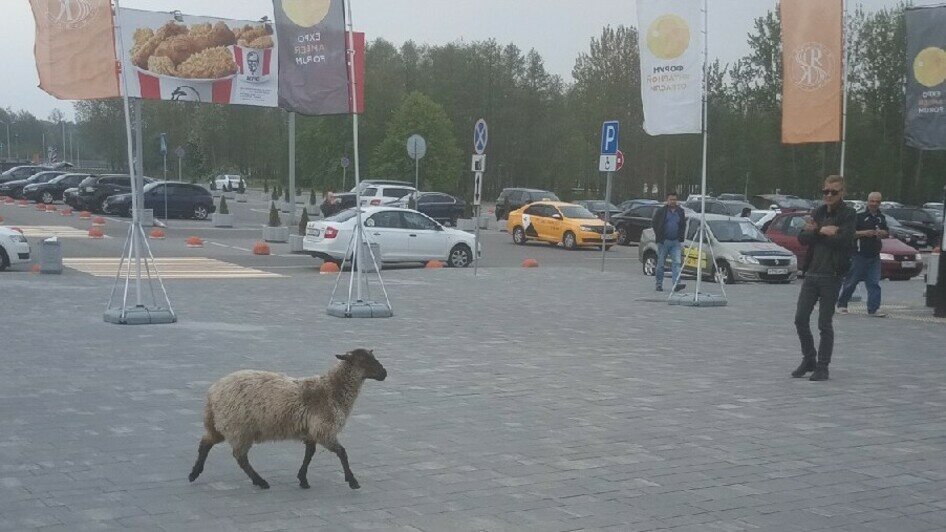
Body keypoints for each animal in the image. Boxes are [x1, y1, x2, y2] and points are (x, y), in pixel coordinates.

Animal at [186, 350, 386, 490]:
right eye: (364, 360)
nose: (384, 373)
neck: (331, 390)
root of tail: (213, 392)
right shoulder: (324, 430)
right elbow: (342, 453)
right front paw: (352, 481)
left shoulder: (311, 431)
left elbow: (309, 454)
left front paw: (303, 479)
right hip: (239, 428)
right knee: (240, 457)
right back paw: (260, 481)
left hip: (220, 424)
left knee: (205, 443)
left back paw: (194, 473)